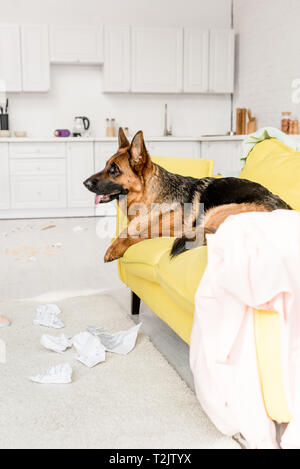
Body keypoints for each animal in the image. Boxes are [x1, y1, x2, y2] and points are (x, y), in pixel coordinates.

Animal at [83, 128, 292, 262]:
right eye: (105, 165)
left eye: (114, 169)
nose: (85, 183)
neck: (148, 199)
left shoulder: (172, 230)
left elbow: (138, 233)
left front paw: (114, 249)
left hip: (216, 211)